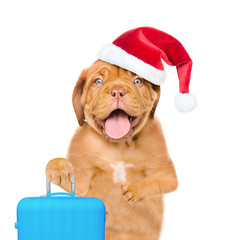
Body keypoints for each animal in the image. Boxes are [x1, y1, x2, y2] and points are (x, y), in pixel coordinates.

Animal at [46, 60, 178, 240]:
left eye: (138, 81)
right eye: (98, 81)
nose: (117, 91)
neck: (119, 146)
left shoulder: (166, 173)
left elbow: (155, 182)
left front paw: (134, 190)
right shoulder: (82, 182)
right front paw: (58, 167)